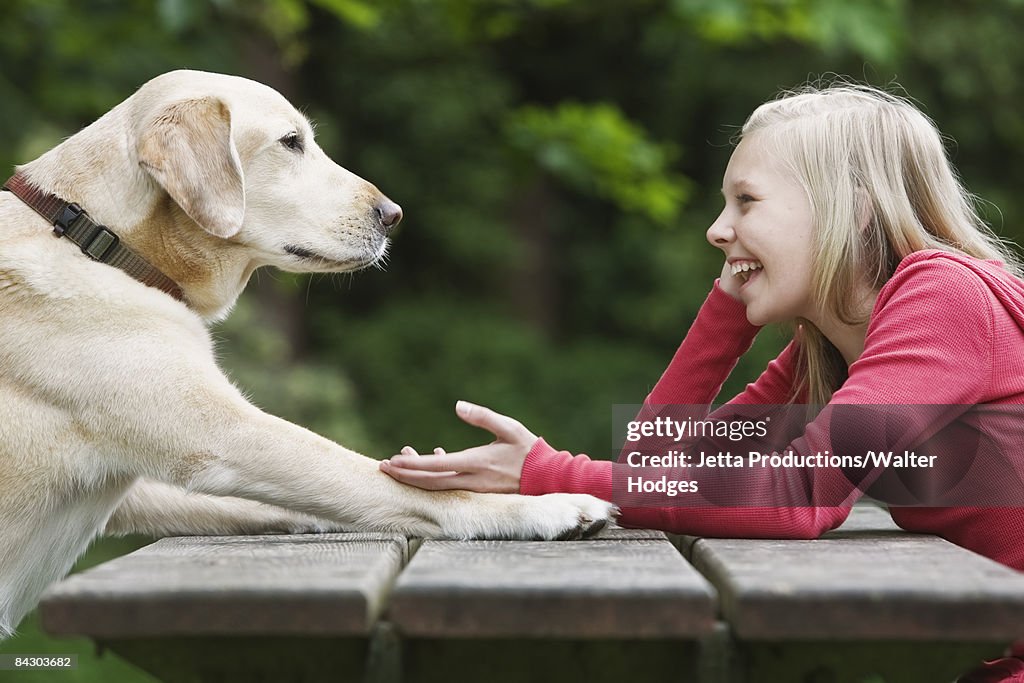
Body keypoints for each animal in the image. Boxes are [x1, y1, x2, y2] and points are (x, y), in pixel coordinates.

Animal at [0, 69, 614, 634]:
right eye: (291, 142)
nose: (393, 214)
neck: (95, 236)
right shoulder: (227, 436)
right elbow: (385, 481)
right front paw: (544, 505)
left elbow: (293, 500)